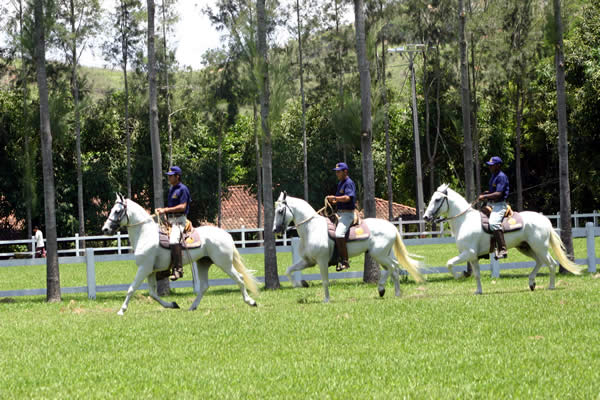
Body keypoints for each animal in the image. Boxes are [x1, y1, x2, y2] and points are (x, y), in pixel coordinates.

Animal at [100, 193, 258, 312]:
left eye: (117, 211)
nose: (105, 229)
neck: (145, 234)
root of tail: (226, 235)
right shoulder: (150, 271)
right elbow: (152, 293)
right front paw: (172, 304)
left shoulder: (143, 268)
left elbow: (131, 288)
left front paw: (121, 310)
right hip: (203, 263)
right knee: (204, 286)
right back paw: (192, 307)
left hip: (224, 263)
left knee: (239, 278)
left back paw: (251, 301)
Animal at [272, 192, 422, 302]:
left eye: (280, 211)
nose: (275, 230)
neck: (311, 229)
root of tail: (392, 227)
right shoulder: (308, 262)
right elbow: (289, 270)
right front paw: (300, 284)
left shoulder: (322, 261)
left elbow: (325, 281)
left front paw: (326, 300)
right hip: (384, 255)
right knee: (394, 269)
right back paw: (395, 293)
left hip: (378, 255)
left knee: (392, 267)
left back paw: (381, 289)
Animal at [422, 184, 580, 294]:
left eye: (437, 199)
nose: (425, 217)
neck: (464, 220)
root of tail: (545, 220)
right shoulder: (473, 257)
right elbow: (477, 275)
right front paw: (478, 291)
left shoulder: (468, 253)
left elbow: (449, 263)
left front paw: (460, 276)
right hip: (526, 248)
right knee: (540, 262)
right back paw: (531, 283)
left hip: (540, 247)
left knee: (551, 264)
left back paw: (551, 286)